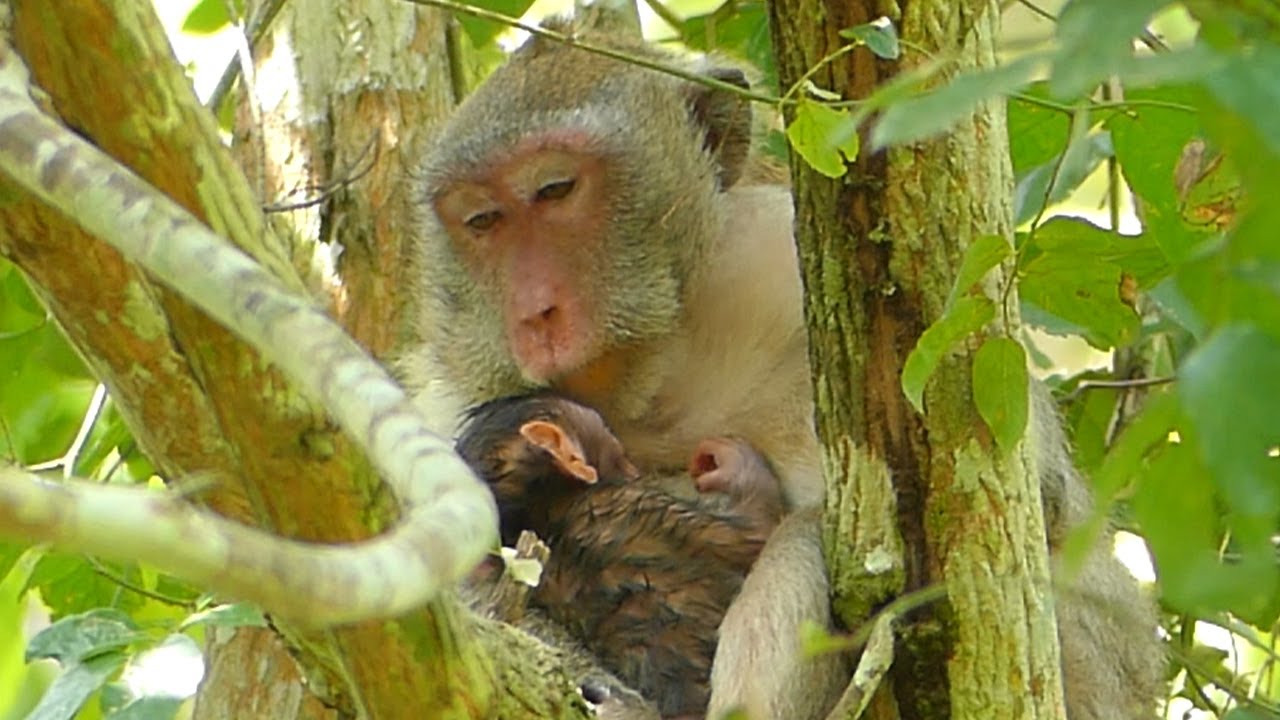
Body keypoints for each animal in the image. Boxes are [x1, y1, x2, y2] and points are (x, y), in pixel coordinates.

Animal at [455, 392, 783, 718]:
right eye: (617, 449)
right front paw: (732, 463)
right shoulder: (638, 504)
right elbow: (756, 532)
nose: (634, 469)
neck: (540, 513)